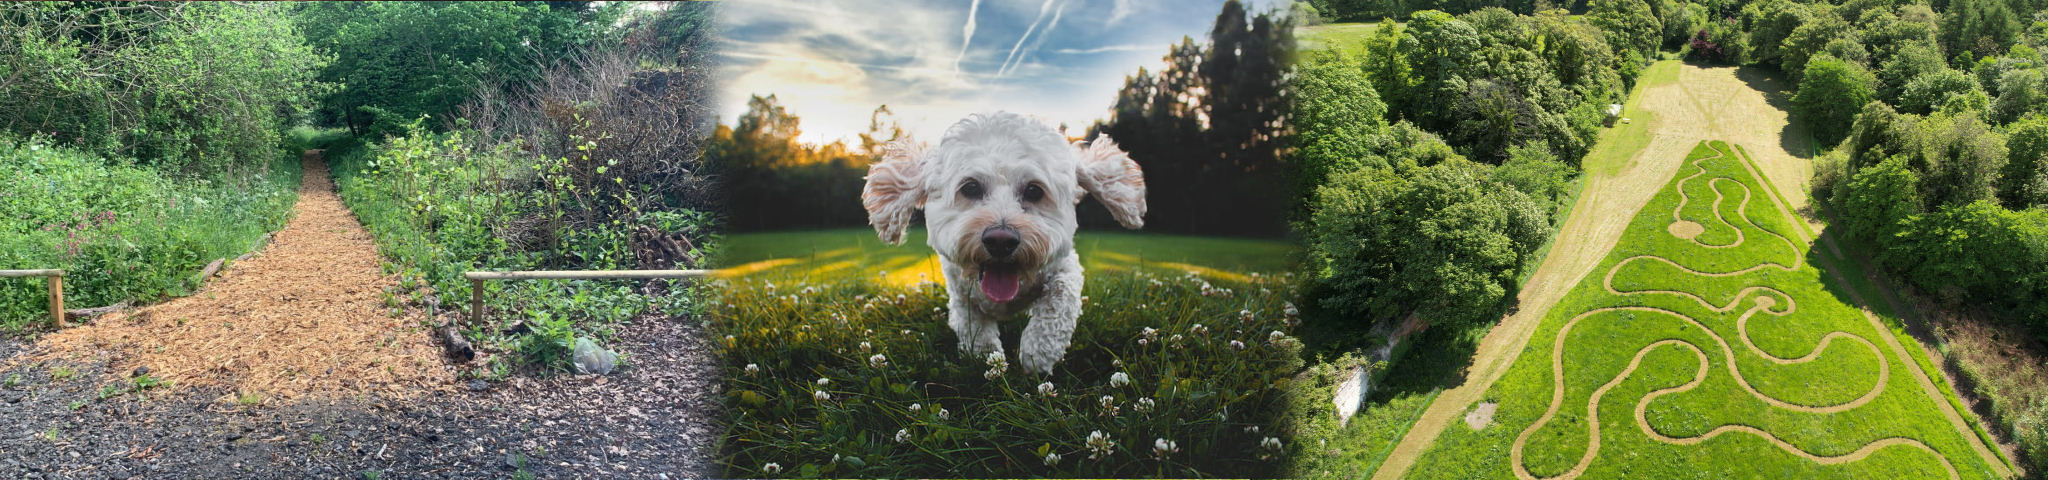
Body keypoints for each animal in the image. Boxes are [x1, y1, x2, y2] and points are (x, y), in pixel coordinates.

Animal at [860, 113, 1146, 375]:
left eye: (1034, 191)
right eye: (970, 187)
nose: (1001, 240)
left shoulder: (1065, 267)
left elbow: (1058, 301)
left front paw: (1037, 354)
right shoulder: (960, 293)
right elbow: (974, 328)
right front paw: (988, 359)